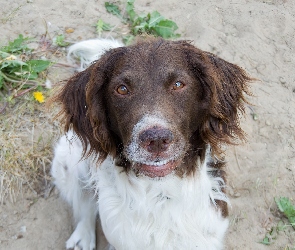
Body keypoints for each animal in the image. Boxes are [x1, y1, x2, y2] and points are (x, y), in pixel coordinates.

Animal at [51, 37, 252, 250]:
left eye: (178, 84)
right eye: (122, 89)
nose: (156, 140)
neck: (160, 193)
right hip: (67, 161)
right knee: (85, 204)